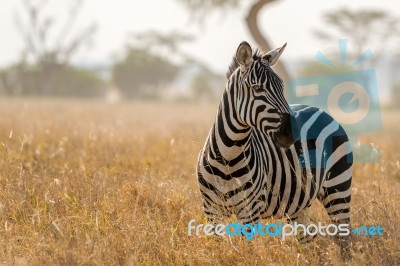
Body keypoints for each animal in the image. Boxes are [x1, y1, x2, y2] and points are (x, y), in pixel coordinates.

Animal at [197, 41, 354, 254]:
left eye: (281, 86)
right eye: (257, 88)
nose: (293, 133)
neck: (227, 157)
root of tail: (321, 111)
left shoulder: (250, 211)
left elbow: (249, 253)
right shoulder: (212, 211)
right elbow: (216, 251)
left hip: (338, 188)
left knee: (344, 239)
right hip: (299, 203)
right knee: (308, 237)